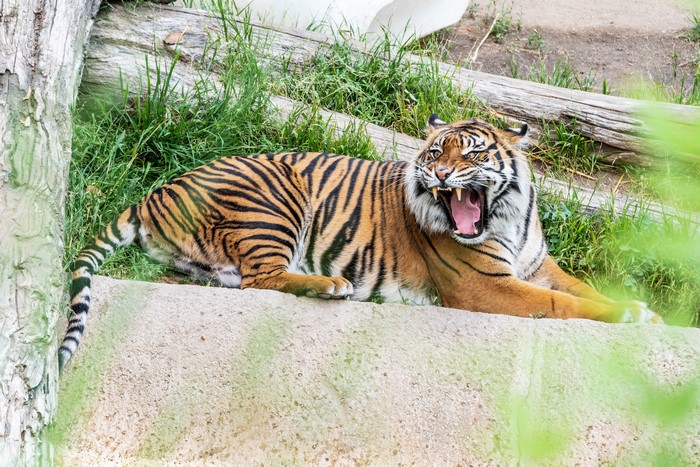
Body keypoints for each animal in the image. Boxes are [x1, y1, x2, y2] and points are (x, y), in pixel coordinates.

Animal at [58, 115, 662, 369]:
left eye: (470, 153)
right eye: (435, 152)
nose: (440, 175)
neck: (506, 219)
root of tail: (156, 192)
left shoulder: (538, 265)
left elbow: (584, 288)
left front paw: (646, 311)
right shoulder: (487, 287)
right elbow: (562, 305)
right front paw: (633, 315)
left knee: (231, 278)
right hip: (276, 198)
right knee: (259, 278)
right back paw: (330, 284)